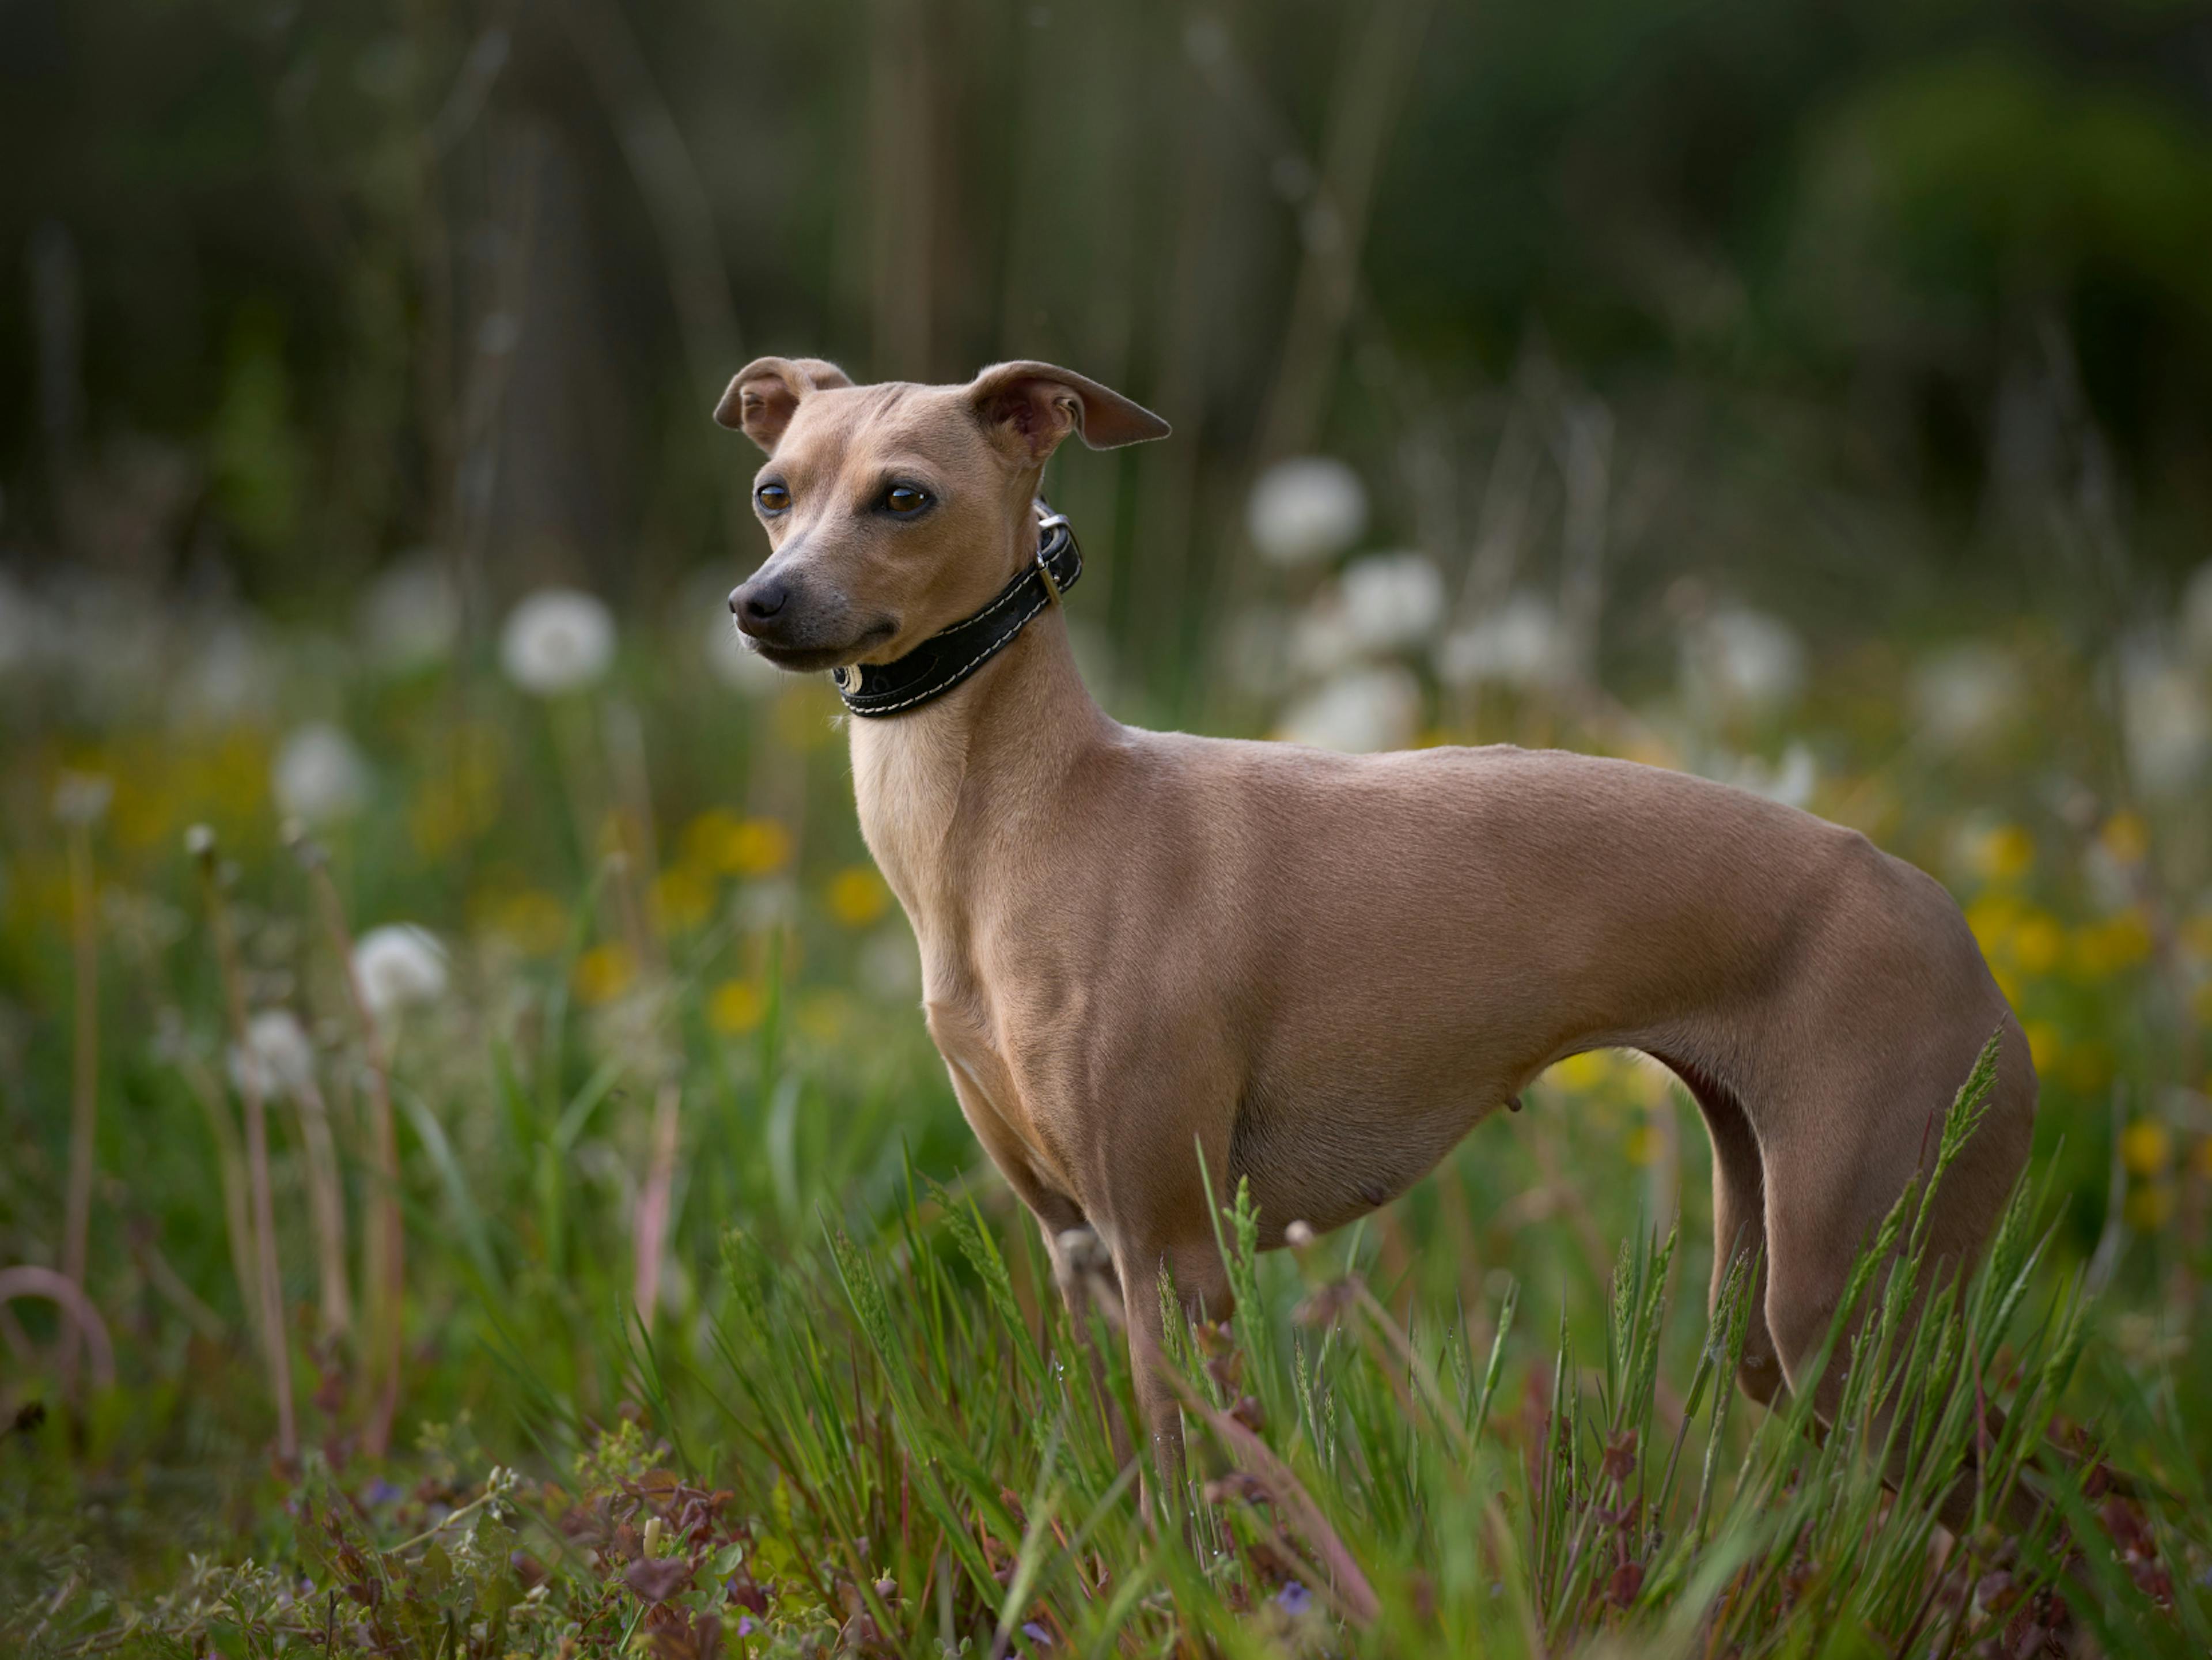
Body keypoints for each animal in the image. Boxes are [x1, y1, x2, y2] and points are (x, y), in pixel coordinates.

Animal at [717, 358, 2026, 1514]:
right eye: (774, 490)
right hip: (1771, 1292)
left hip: (1849, 1296)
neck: (1034, 818)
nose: (756, 603)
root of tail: (1951, 919)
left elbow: (1201, 1496)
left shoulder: (1172, 1253)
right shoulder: (1078, 1248)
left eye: (905, 496)